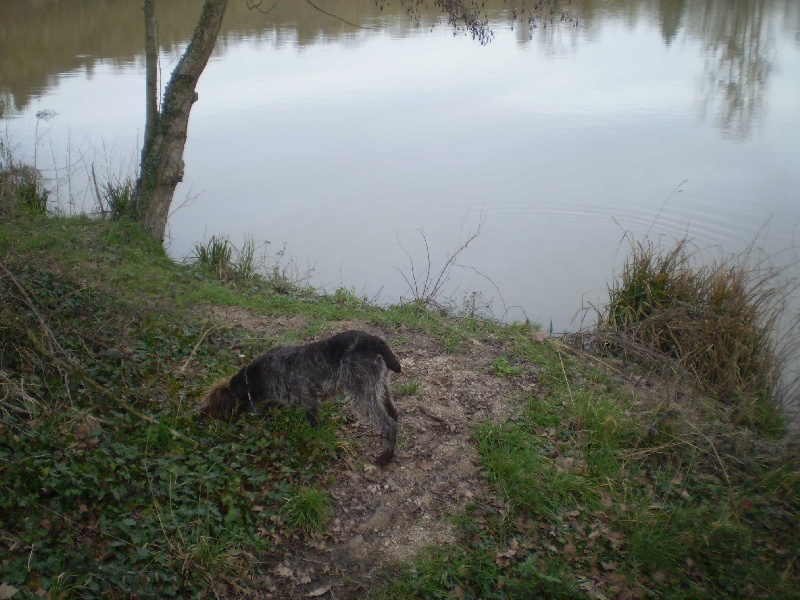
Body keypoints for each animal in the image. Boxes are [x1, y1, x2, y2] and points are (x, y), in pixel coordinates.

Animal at [200, 330, 400, 466]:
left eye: (213, 406)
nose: (200, 415)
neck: (255, 378)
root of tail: (372, 340)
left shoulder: (307, 399)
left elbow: (312, 423)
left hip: (362, 396)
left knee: (389, 423)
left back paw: (386, 455)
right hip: (380, 387)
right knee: (393, 413)